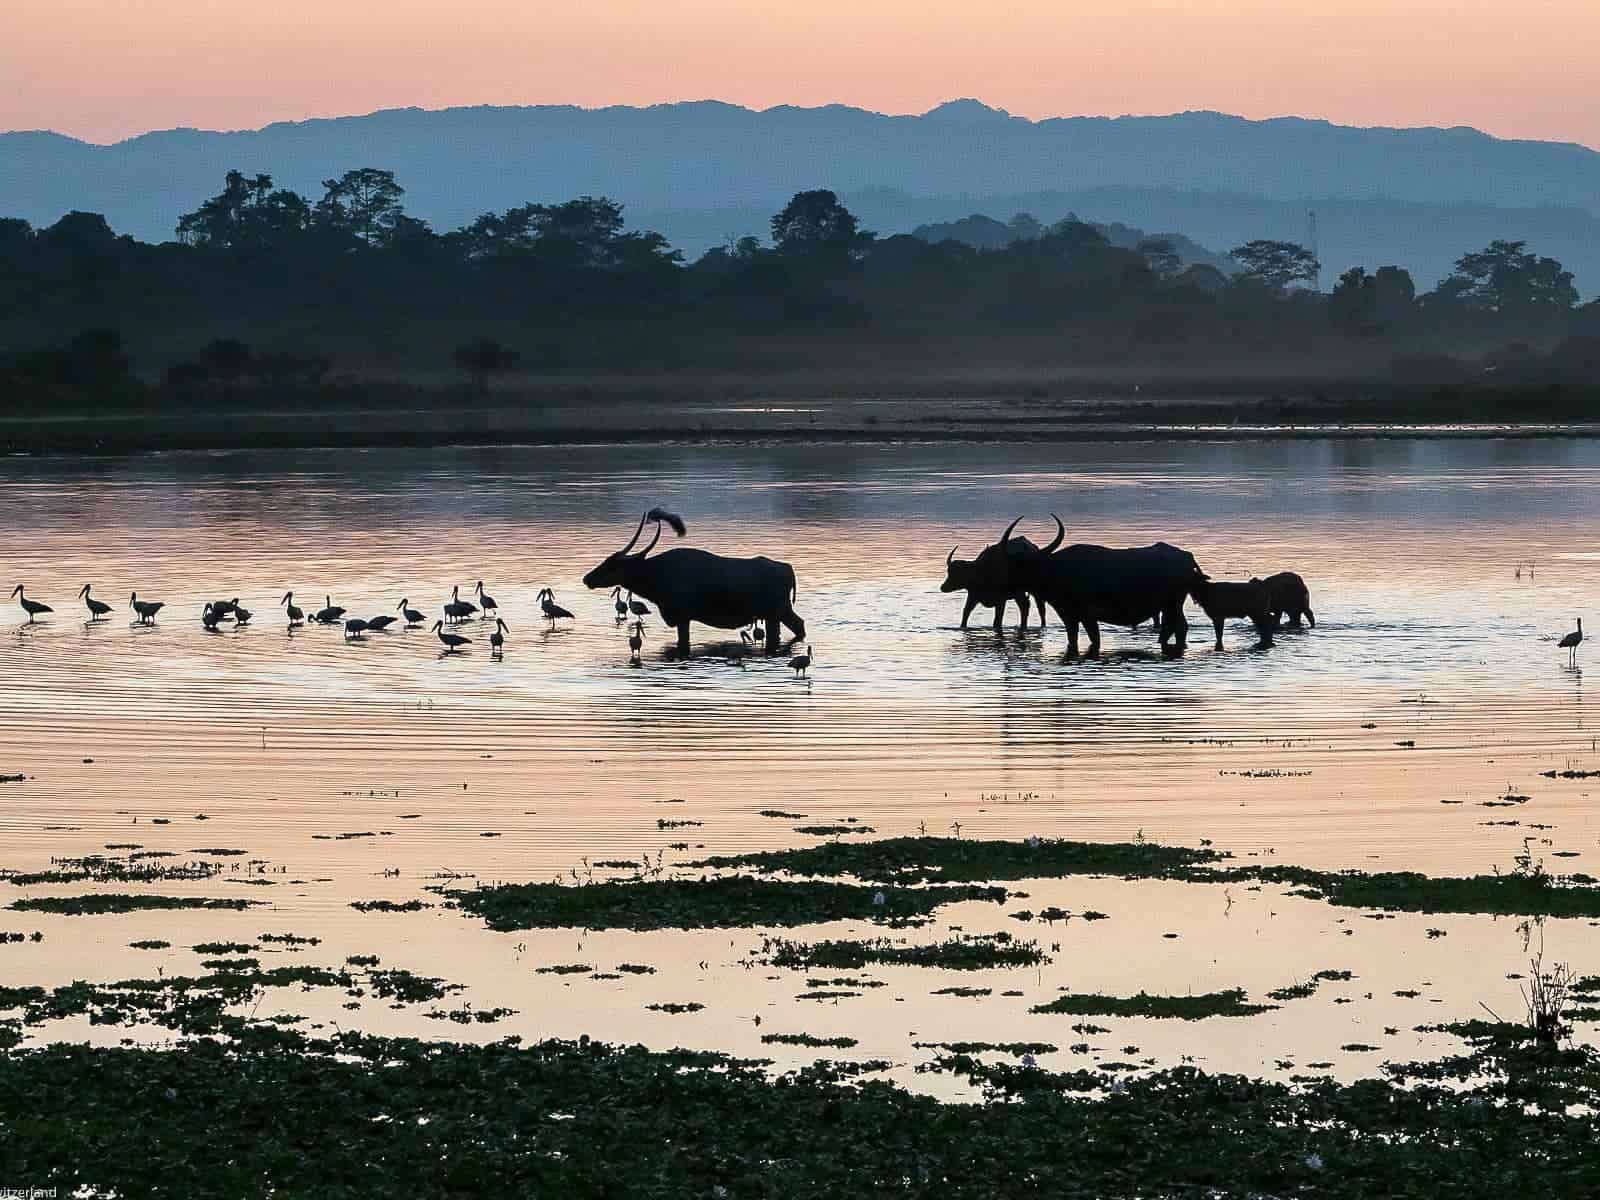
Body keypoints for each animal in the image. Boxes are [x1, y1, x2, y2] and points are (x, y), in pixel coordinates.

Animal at [582, 508, 806, 659]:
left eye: (612, 565)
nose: (587, 578)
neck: (655, 577)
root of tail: (788, 568)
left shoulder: (682, 617)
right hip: (773, 615)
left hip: (778, 611)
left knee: (798, 626)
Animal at [1011, 518, 1203, 659]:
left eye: (1017, 564)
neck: (1056, 570)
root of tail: (1187, 557)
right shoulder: (1069, 617)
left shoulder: (1086, 616)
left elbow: (1094, 639)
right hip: (1171, 607)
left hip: (1172, 605)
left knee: (1175, 627)